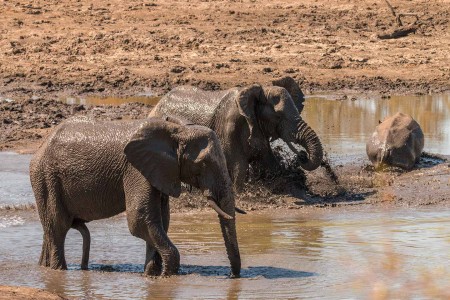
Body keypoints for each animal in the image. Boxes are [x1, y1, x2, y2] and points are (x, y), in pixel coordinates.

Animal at [29, 115, 243, 276]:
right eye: (203, 164)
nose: (231, 275)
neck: (177, 129)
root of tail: (40, 148)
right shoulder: (135, 169)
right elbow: (139, 218)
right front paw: (167, 275)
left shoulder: (158, 170)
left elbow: (160, 220)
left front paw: (151, 275)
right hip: (46, 178)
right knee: (58, 226)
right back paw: (59, 271)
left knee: (50, 229)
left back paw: (45, 268)